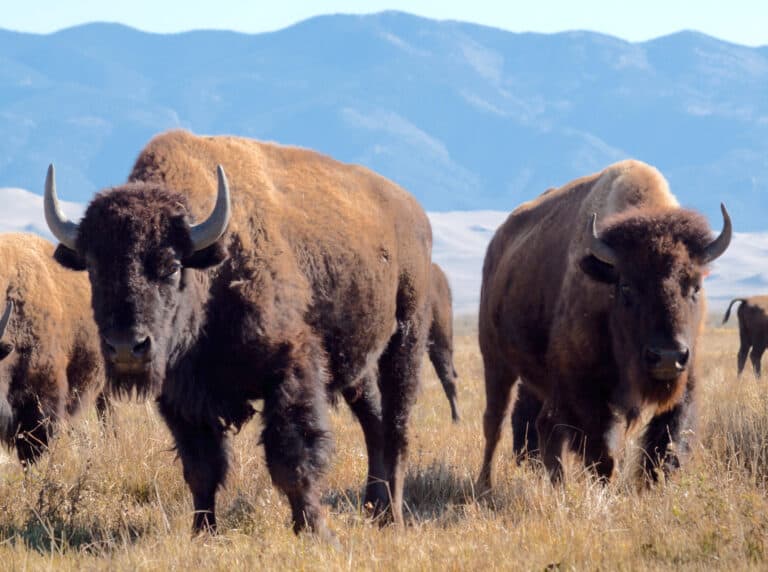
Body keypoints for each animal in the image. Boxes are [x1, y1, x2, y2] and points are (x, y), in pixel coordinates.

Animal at [44, 130, 432, 539]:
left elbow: (292, 457)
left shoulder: (292, 369)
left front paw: (315, 531)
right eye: (93, 268)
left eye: (171, 266)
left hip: (406, 338)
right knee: (374, 423)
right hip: (358, 365)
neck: (213, 270)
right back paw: (374, 508)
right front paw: (203, 532)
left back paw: (392, 516)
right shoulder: (183, 398)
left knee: (396, 429)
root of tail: (413, 211)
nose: (125, 349)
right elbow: (202, 469)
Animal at [477, 160, 731, 488]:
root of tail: (498, 244)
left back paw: (556, 482)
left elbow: (665, 447)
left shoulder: (685, 382)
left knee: (541, 424)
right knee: (494, 423)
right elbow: (602, 454)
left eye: (695, 286)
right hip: (496, 361)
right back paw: (484, 484)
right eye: (626, 287)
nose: (667, 357)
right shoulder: (586, 392)